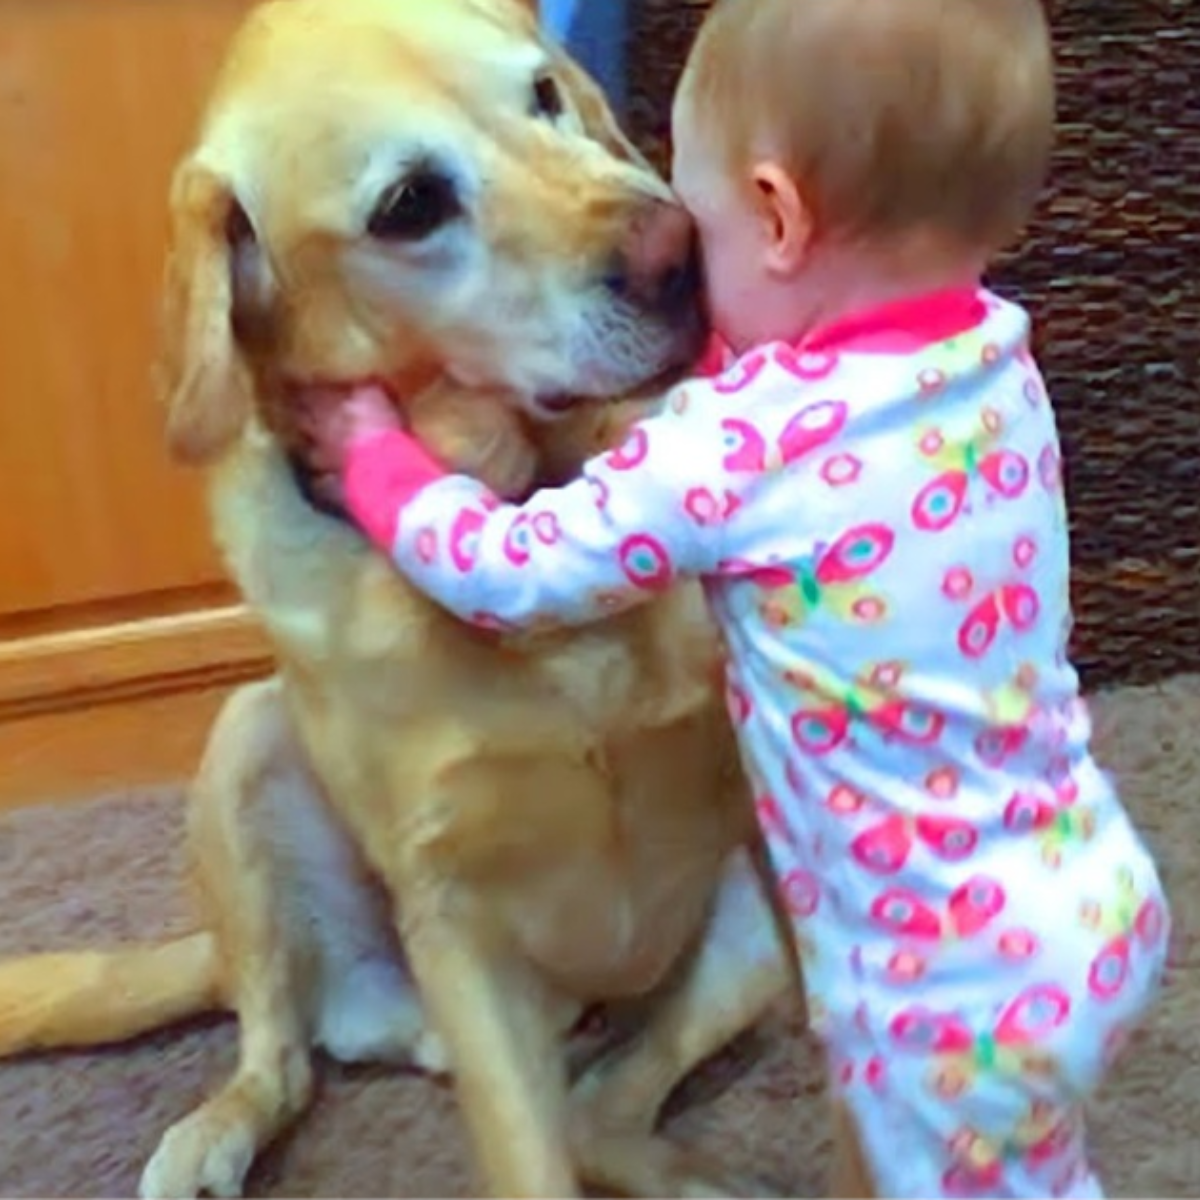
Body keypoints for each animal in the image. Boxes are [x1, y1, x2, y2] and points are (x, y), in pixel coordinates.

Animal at [0, 4, 796, 1195]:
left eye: (544, 93)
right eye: (410, 205)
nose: (682, 252)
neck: (525, 497)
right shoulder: (456, 920)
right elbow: (524, 1158)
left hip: (738, 949)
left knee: (600, 1108)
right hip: (248, 746)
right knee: (283, 1055)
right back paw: (212, 1132)